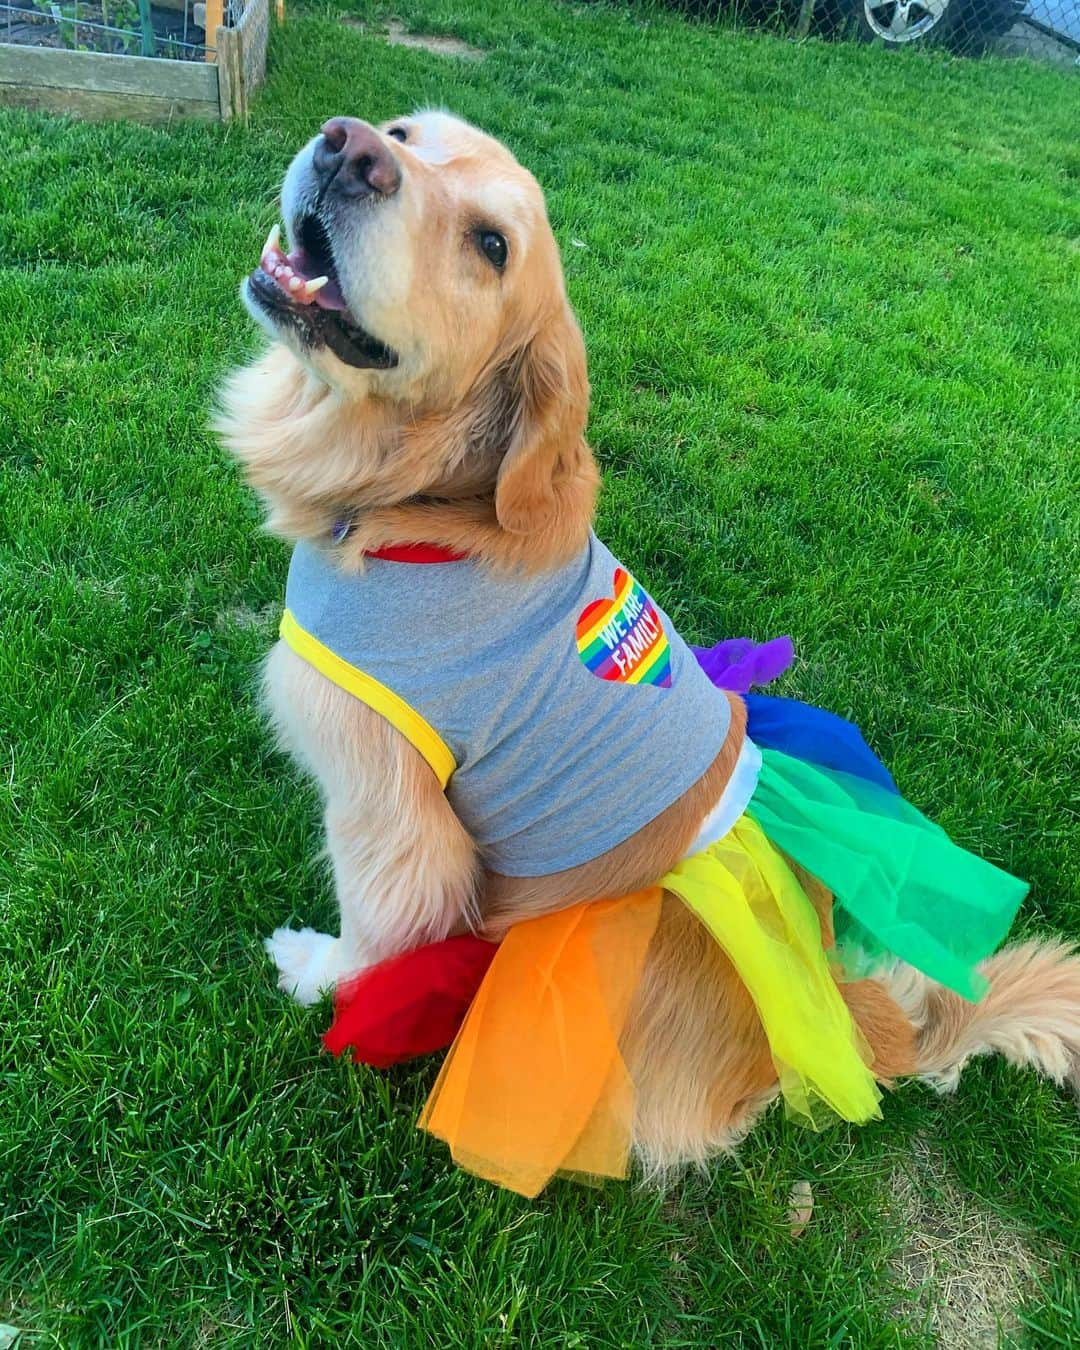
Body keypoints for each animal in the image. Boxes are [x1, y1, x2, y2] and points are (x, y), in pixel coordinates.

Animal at [218, 113, 1080, 1171]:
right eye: (405, 133)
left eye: (491, 246)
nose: (350, 149)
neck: (418, 507)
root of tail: (849, 1013)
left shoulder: (391, 810)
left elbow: (376, 928)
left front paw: (316, 971)